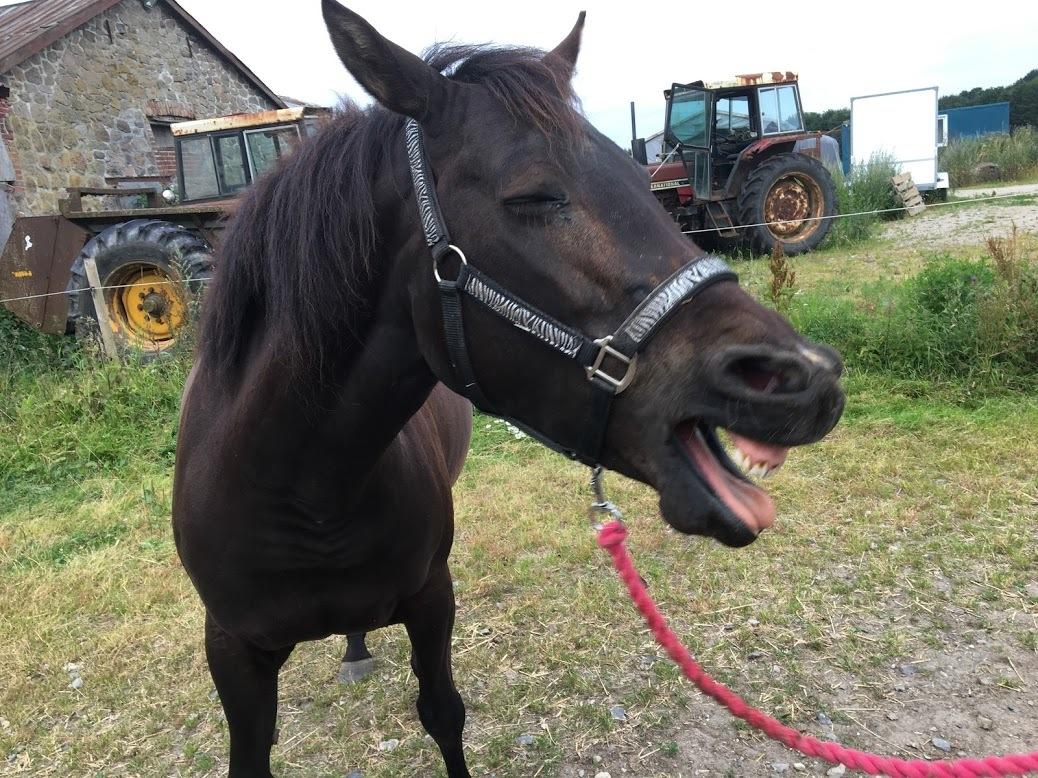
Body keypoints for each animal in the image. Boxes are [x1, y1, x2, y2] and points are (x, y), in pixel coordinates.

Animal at [174, 3, 847, 775]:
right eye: (533, 195)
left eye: (639, 175)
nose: (807, 377)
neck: (306, 494)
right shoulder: (232, 650)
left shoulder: (431, 598)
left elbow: (443, 714)